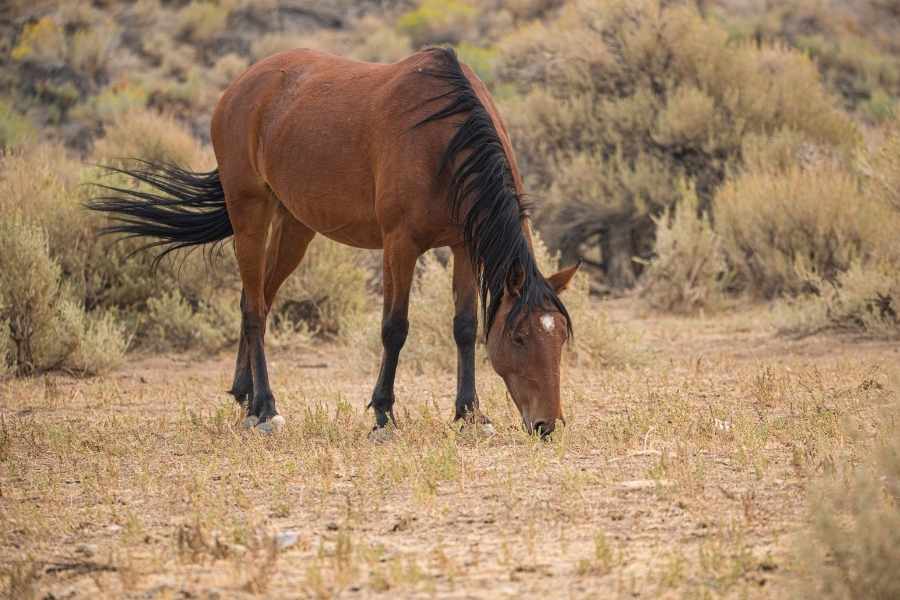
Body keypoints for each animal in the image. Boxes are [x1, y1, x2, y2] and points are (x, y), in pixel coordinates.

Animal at [88, 47, 579, 437]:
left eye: (559, 338)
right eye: (519, 337)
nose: (546, 424)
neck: (442, 138)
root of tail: (241, 87)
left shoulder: (461, 246)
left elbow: (463, 327)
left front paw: (470, 415)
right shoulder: (399, 246)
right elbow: (395, 328)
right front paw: (383, 414)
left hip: (294, 227)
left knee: (258, 298)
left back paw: (245, 396)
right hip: (250, 214)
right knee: (254, 308)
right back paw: (265, 408)